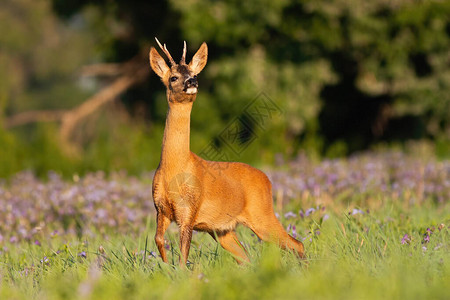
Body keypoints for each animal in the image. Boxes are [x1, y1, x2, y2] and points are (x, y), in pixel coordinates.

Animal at [149, 38, 304, 264]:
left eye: (194, 74)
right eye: (173, 77)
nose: (192, 82)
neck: (175, 168)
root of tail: (267, 180)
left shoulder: (189, 210)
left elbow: (183, 259)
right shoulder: (161, 209)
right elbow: (159, 240)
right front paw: (165, 266)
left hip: (262, 215)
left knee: (296, 244)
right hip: (224, 231)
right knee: (247, 258)